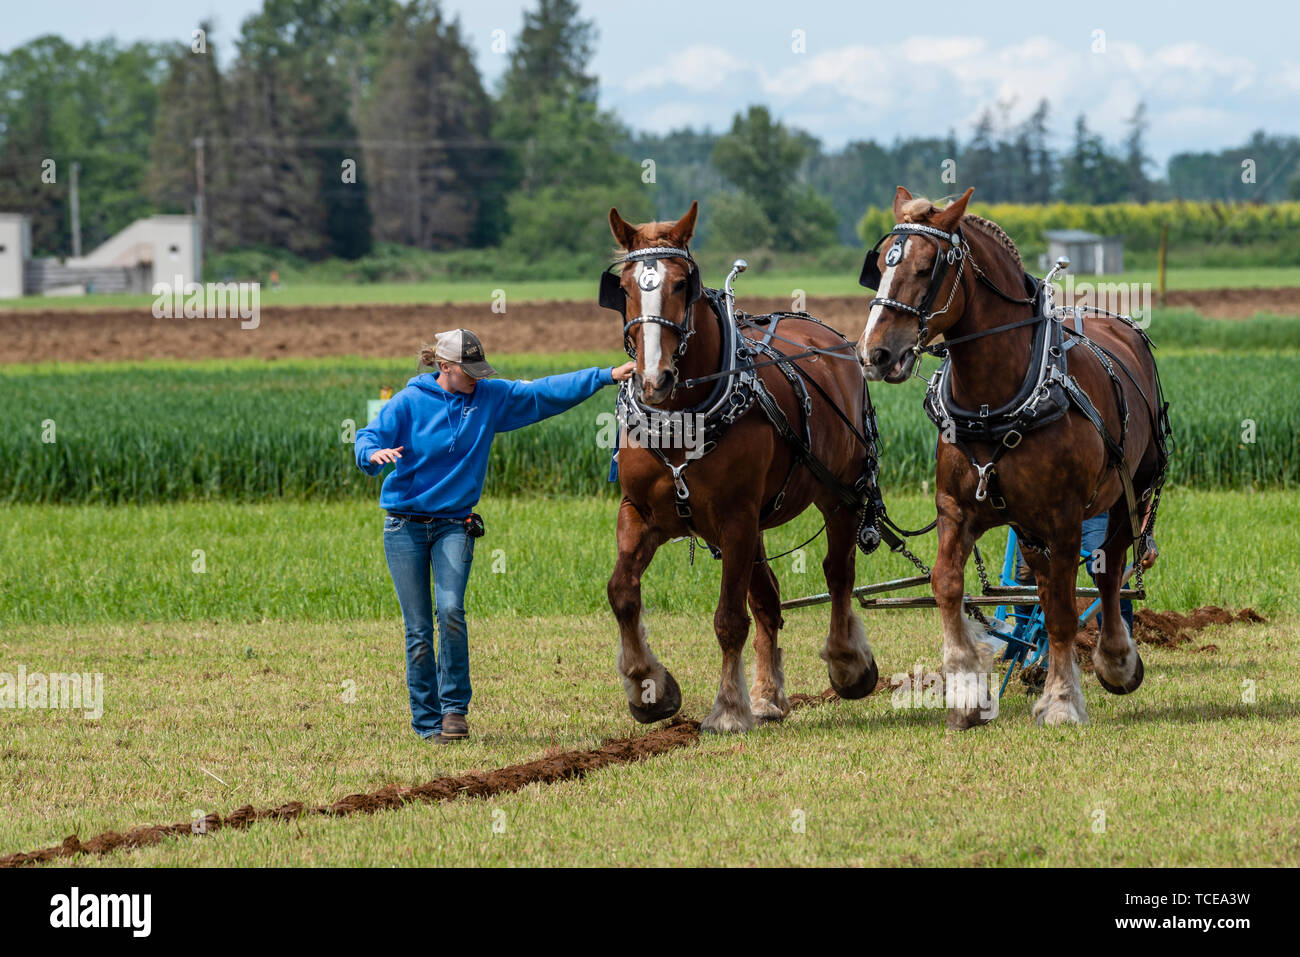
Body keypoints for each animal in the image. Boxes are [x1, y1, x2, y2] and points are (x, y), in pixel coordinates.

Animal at [603, 204, 878, 733]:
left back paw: (847, 664)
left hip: (839, 495)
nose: (652, 380)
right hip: (755, 525)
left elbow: (729, 619)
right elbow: (622, 593)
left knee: (838, 574)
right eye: (623, 287)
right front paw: (649, 688)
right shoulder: (640, 513)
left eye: (682, 284)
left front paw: (729, 709)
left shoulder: (735, 518)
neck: (682, 418)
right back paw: (769, 696)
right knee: (768, 600)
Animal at [857, 187, 1175, 722]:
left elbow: (1066, 611)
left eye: (927, 267)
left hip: (1127, 492)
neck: (996, 401)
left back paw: (1115, 659)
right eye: (880, 264)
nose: (874, 354)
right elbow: (947, 584)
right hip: (1030, 528)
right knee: (1045, 585)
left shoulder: (1065, 518)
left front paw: (1063, 700)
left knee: (1107, 571)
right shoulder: (957, 509)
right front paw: (966, 688)